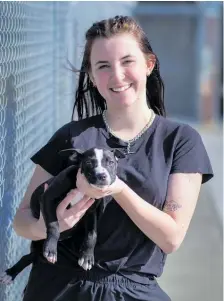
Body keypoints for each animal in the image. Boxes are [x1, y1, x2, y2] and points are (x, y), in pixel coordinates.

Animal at [0, 147, 124, 284]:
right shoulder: (47, 198)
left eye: (111, 162)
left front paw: (87, 257)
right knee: (27, 257)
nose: (101, 176)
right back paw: (10, 273)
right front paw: (51, 249)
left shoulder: (91, 212)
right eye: (88, 163)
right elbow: (54, 225)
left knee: (30, 257)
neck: (82, 189)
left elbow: (92, 234)